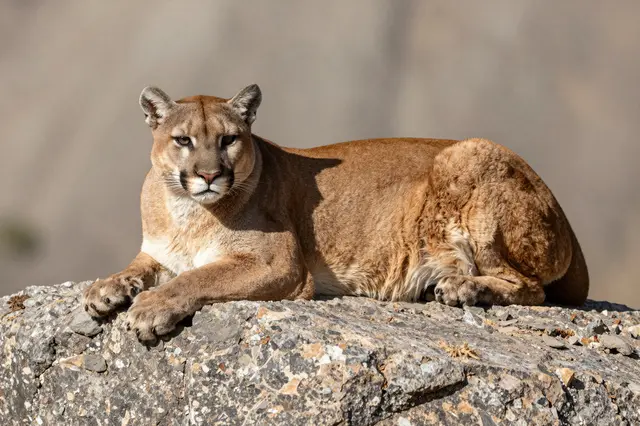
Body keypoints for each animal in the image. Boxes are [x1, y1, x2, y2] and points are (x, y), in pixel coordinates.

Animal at [82, 84, 589, 342]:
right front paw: (105, 290)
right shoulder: (159, 251)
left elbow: (197, 277)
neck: (185, 208)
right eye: (183, 140)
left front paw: (150, 310)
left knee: (532, 288)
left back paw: (462, 288)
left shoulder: (280, 264)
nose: (208, 175)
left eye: (228, 139)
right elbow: (139, 266)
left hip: (470, 155)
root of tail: (563, 211)